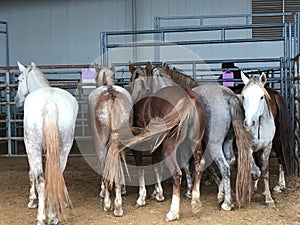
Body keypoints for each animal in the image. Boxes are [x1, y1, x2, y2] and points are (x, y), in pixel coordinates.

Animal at [15, 61, 78, 225]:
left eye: (20, 79)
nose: (16, 101)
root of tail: (50, 103)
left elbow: (32, 174)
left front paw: (32, 201)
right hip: (64, 148)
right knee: (55, 176)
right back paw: (54, 215)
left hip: (32, 146)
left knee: (42, 180)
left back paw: (42, 217)